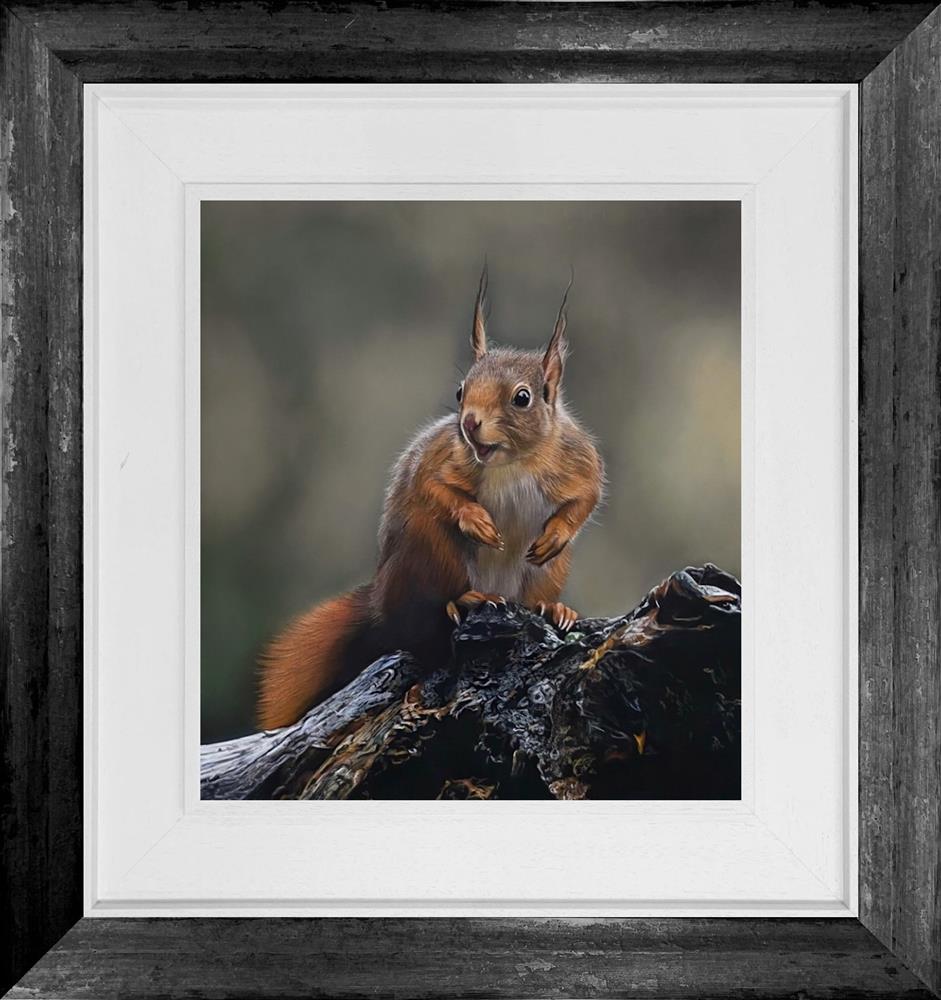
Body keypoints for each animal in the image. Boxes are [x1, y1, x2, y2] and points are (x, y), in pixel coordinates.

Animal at [257, 269, 604, 731]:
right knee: (425, 612)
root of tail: (380, 603)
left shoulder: (578, 459)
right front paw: (476, 520)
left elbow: (587, 495)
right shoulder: (440, 458)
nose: (470, 424)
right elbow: (432, 488)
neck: (511, 464)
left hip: (546, 573)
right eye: (460, 391)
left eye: (522, 397)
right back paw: (467, 599)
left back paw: (553, 608)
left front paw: (556, 534)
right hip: (431, 551)